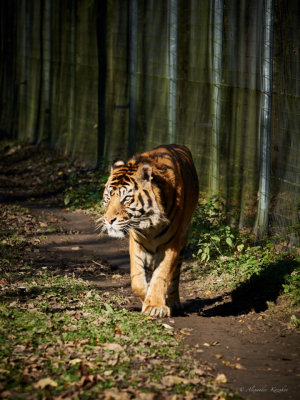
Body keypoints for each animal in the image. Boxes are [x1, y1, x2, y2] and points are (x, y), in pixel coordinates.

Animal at [98, 145, 199, 318]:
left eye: (126, 199)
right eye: (108, 197)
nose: (109, 220)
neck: (148, 224)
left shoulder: (170, 245)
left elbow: (161, 275)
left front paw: (155, 306)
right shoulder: (137, 243)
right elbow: (137, 279)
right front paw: (147, 298)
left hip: (183, 238)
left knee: (176, 274)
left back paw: (174, 301)